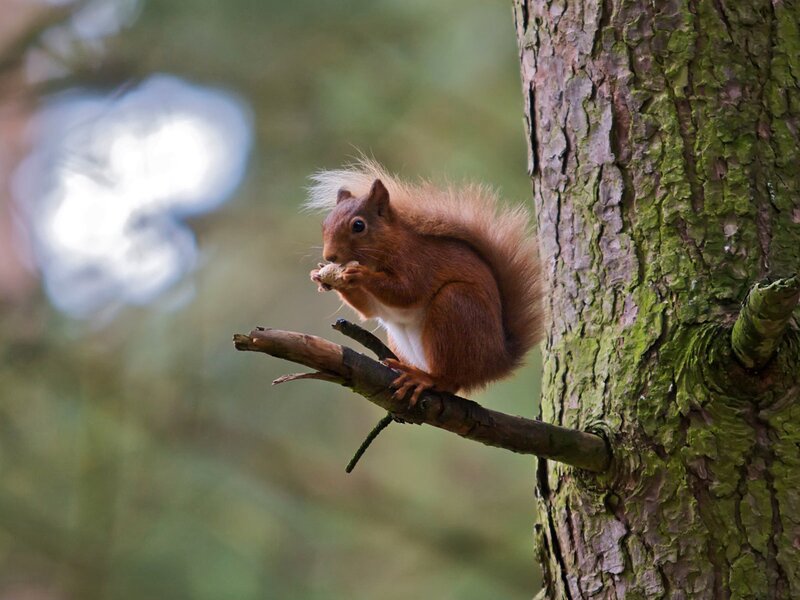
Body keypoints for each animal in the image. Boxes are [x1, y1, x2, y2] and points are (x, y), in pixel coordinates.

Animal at [307, 159, 543, 404]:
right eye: (325, 225)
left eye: (358, 226)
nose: (330, 257)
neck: (390, 245)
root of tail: (497, 362)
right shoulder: (374, 303)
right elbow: (369, 310)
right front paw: (320, 276)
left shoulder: (419, 263)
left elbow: (407, 292)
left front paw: (359, 275)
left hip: (455, 309)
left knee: (450, 380)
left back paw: (424, 378)